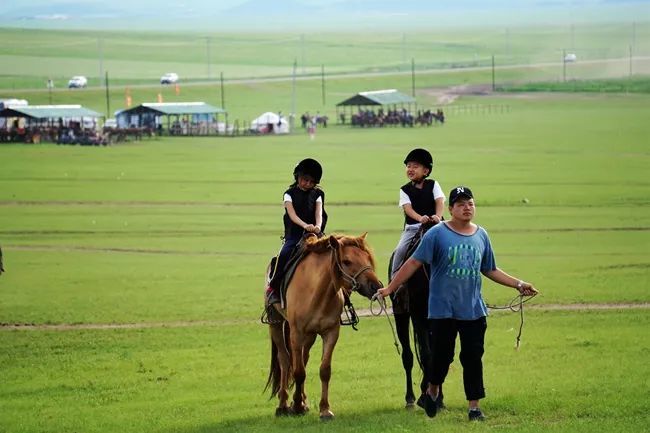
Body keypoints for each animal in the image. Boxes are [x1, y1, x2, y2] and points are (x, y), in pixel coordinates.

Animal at [266, 233, 382, 418]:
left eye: (367, 258)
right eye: (347, 261)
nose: (375, 286)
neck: (317, 292)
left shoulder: (331, 332)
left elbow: (324, 370)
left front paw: (324, 409)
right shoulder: (297, 332)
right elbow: (298, 372)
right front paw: (296, 406)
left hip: (309, 335)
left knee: (303, 358)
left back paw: (302, 400)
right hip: (276, 324)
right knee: (284, 359)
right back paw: (283, 404)